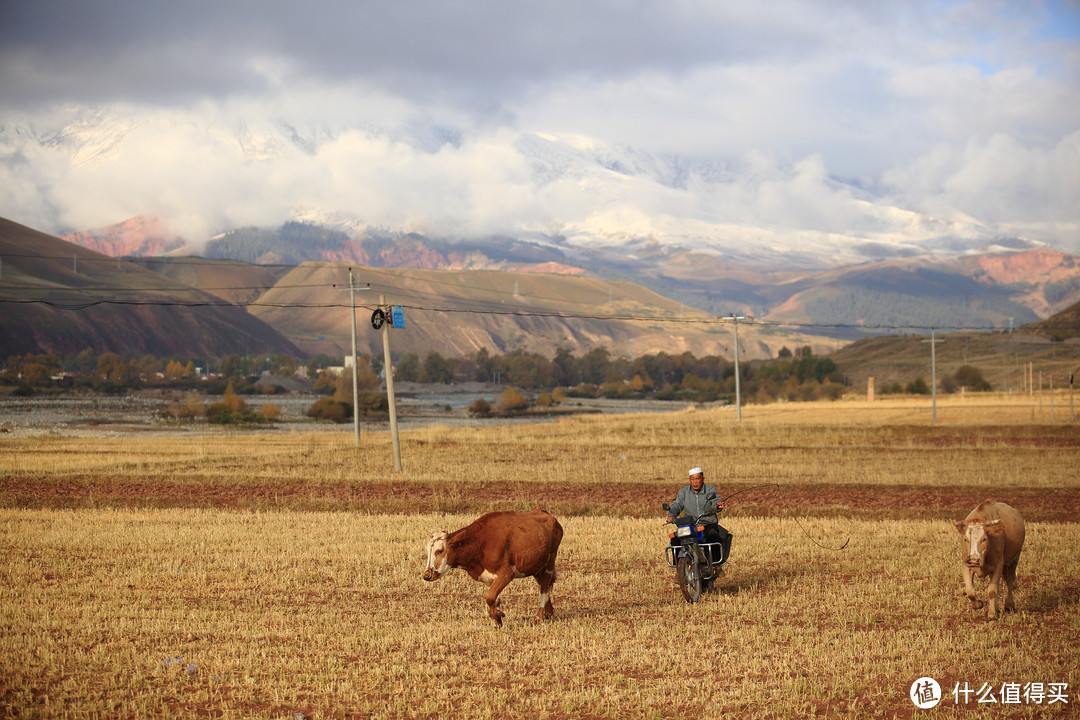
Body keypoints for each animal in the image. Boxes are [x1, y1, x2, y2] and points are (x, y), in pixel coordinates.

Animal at [419, 509, 561, 626]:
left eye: (440, 551)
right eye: (427, 550)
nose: (427, 575)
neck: (481, 542)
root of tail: (547, 515)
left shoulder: (506, 573)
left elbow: (490, 597)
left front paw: (497, 615)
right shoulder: (488, 578)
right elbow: (494, 599)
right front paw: (497, 618)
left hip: (549, 564)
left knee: (544, 586)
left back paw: (540, 616)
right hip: (537, 566)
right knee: (545, 585)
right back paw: (549, 612)